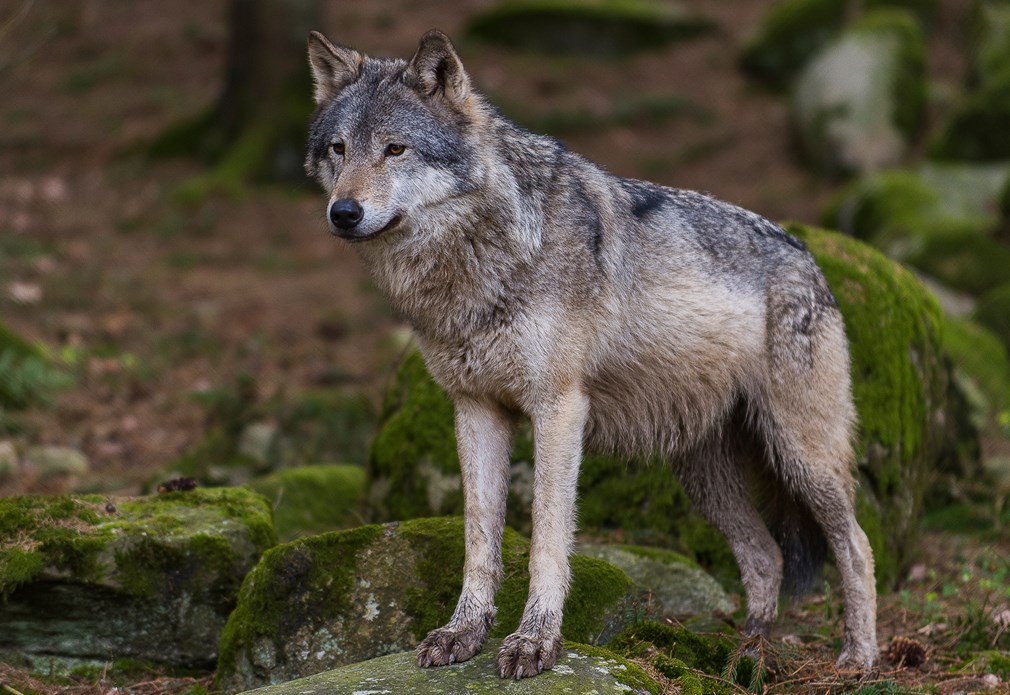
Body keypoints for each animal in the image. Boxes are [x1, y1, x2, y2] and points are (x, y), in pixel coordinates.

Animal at [305, 29, 878, 679]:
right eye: (339, 149)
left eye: (395, 149)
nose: (343, 212)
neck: (487, 256)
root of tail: (810, 258)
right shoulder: (476, 409)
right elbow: (479, 540)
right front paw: (463, 633)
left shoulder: (559, 409)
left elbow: (547, 539)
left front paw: (534, 642)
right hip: (704, 475)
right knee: (766, 557)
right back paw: (743, 656)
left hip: (801, 455)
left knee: (857, 545)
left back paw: (857, 658)